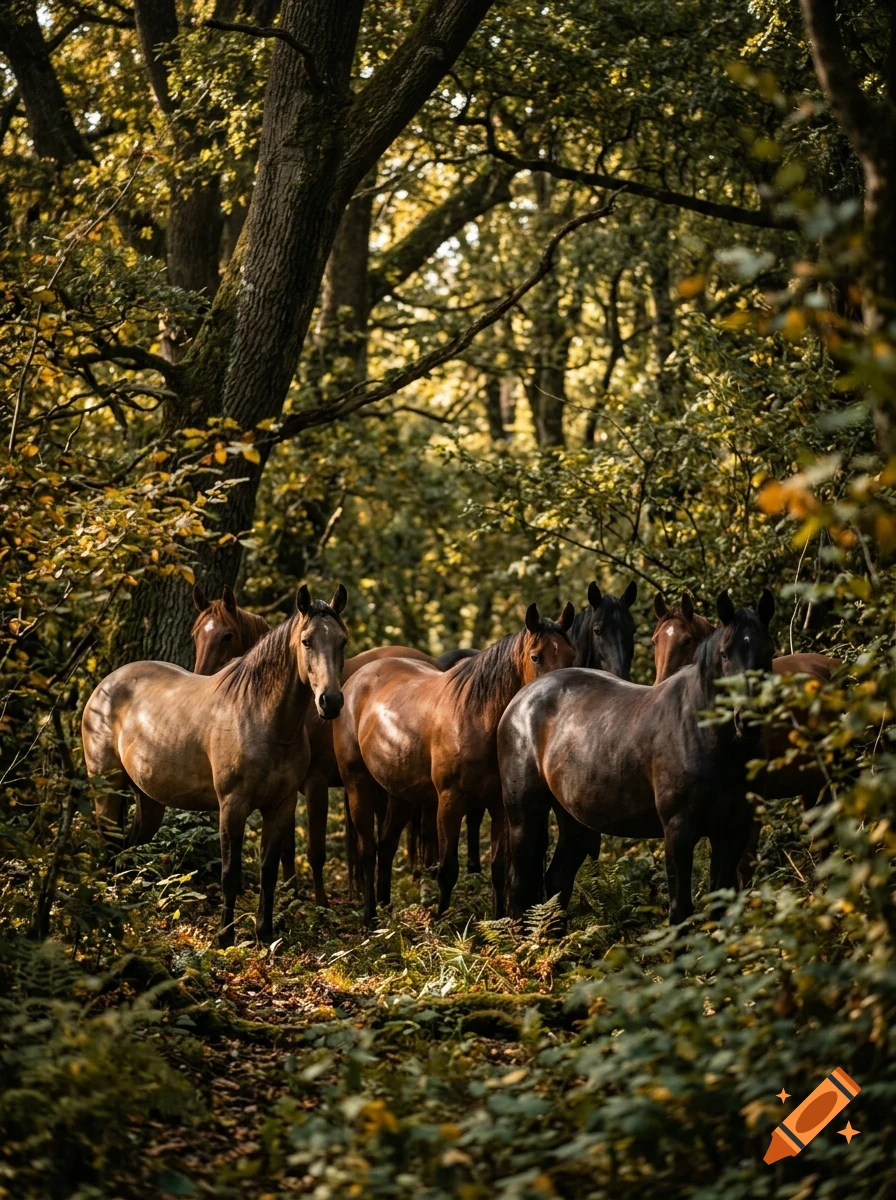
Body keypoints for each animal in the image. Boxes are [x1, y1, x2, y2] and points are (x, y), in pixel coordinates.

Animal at [83, 585, 348, 946]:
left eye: (342, 641)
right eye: (306, 641)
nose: (330, 702)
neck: (263, 717)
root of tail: (104, 687)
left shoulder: (281, 805)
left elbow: (268, 870)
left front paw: (265, 934)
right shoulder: (232, 807)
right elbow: (230, 875)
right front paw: (225, 938)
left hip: (148, 801)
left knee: (126, 847)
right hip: (107, 791)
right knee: (108, 845)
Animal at [334, 602, 576, 925]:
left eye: (571, 655)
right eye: (536, 656)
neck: (478, 718)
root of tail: (359, 678)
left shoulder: (499, 807)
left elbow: (498, 870)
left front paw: (497, 921)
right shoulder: (450, 803)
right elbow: (448, 870)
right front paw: (443, 922)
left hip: (401, 795)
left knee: (385, 847)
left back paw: (385, 908)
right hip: (358, 785)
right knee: (367, 851)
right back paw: (369, 917)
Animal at [498, 590, 776, 925]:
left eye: (768, 652)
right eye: (724, 654)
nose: (747, 719)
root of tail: (522, 699)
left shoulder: (734, 830)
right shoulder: (679, 830)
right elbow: (680, 910)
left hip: (575, 821)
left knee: (556, 883)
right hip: (523, 815)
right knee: (518, 888)